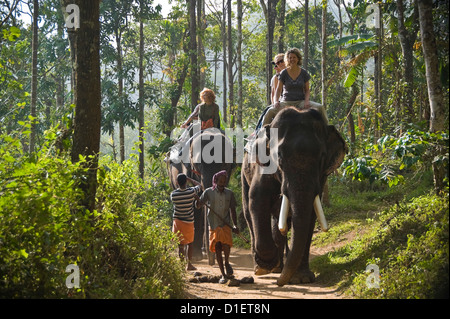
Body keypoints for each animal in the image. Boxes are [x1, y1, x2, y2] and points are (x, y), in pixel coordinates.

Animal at [241, 107, 346, 288]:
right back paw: (262, 269)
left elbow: (310, 213)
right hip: (243, 173)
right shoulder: (264, 167)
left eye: (321, 158)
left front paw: (301, 279)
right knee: (248, 212)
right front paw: (268, 264)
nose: (279, 283)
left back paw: (279, 268)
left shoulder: (320, 177)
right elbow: (257, 199)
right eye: (280, 158)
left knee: (278, 220)